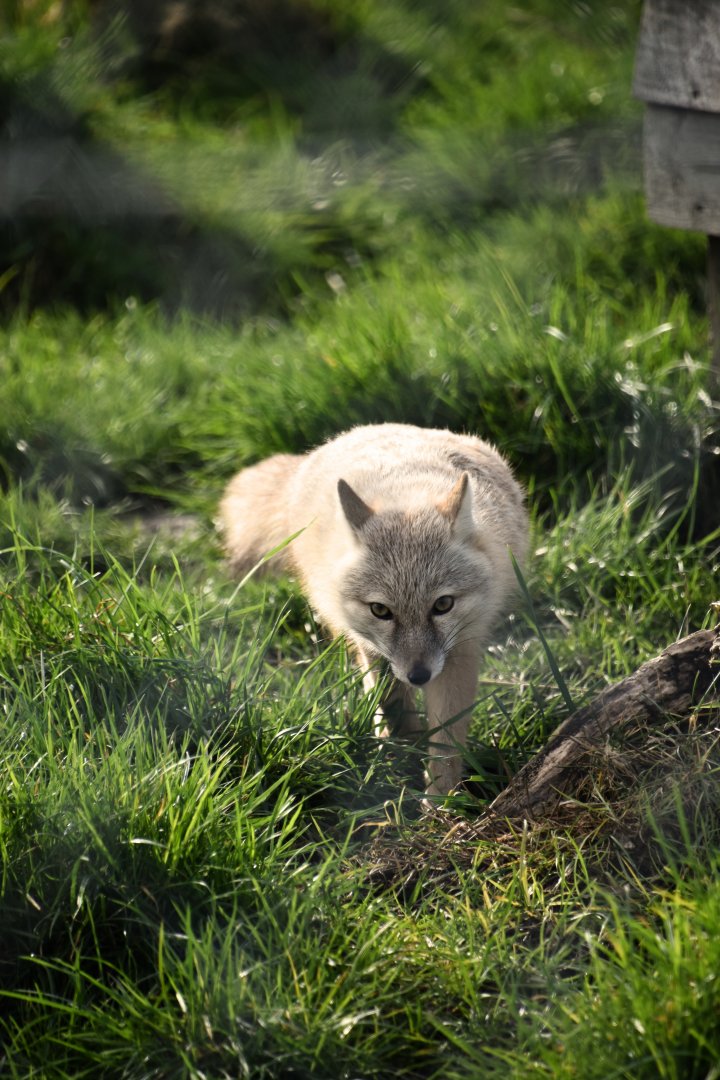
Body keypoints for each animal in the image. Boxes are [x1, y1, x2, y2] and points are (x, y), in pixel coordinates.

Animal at [219, 423, 529, 799]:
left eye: (442, 605)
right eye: (381, 610)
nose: (419, 675)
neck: (407, 492)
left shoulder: (460, 652)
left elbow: (446, 742)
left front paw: (440, 800)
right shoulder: (376, 650)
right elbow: (392, 705)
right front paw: (403, 755)